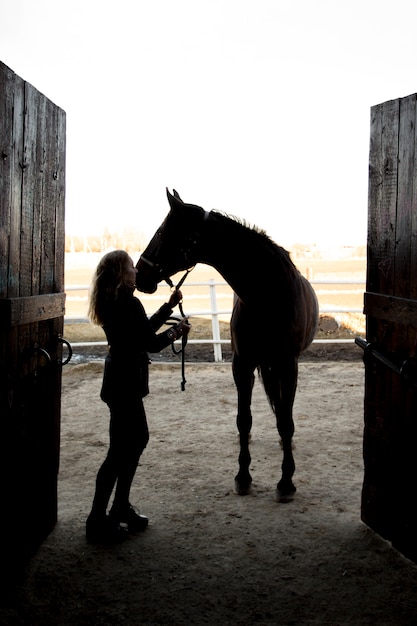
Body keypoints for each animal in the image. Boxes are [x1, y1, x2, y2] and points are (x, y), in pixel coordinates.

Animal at [135, 188, 316, 500]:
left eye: (160, 232)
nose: (138, 274)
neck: (269, 296)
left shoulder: (288, 364)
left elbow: (285, 421)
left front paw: (286, 482)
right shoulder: (242, 364)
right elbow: (244, 419)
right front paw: (243, 477)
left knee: (283, 411)